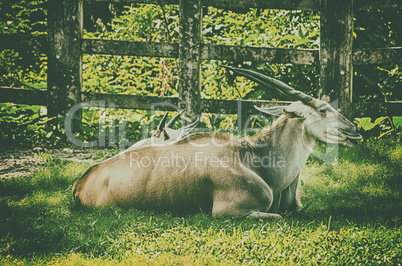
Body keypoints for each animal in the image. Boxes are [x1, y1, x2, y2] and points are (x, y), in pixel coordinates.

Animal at [72, 66, 362, 218]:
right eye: (323, 110)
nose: (356, 131)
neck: (251, 159)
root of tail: (81, 182)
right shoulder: (229, 213)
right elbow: (278, 216)